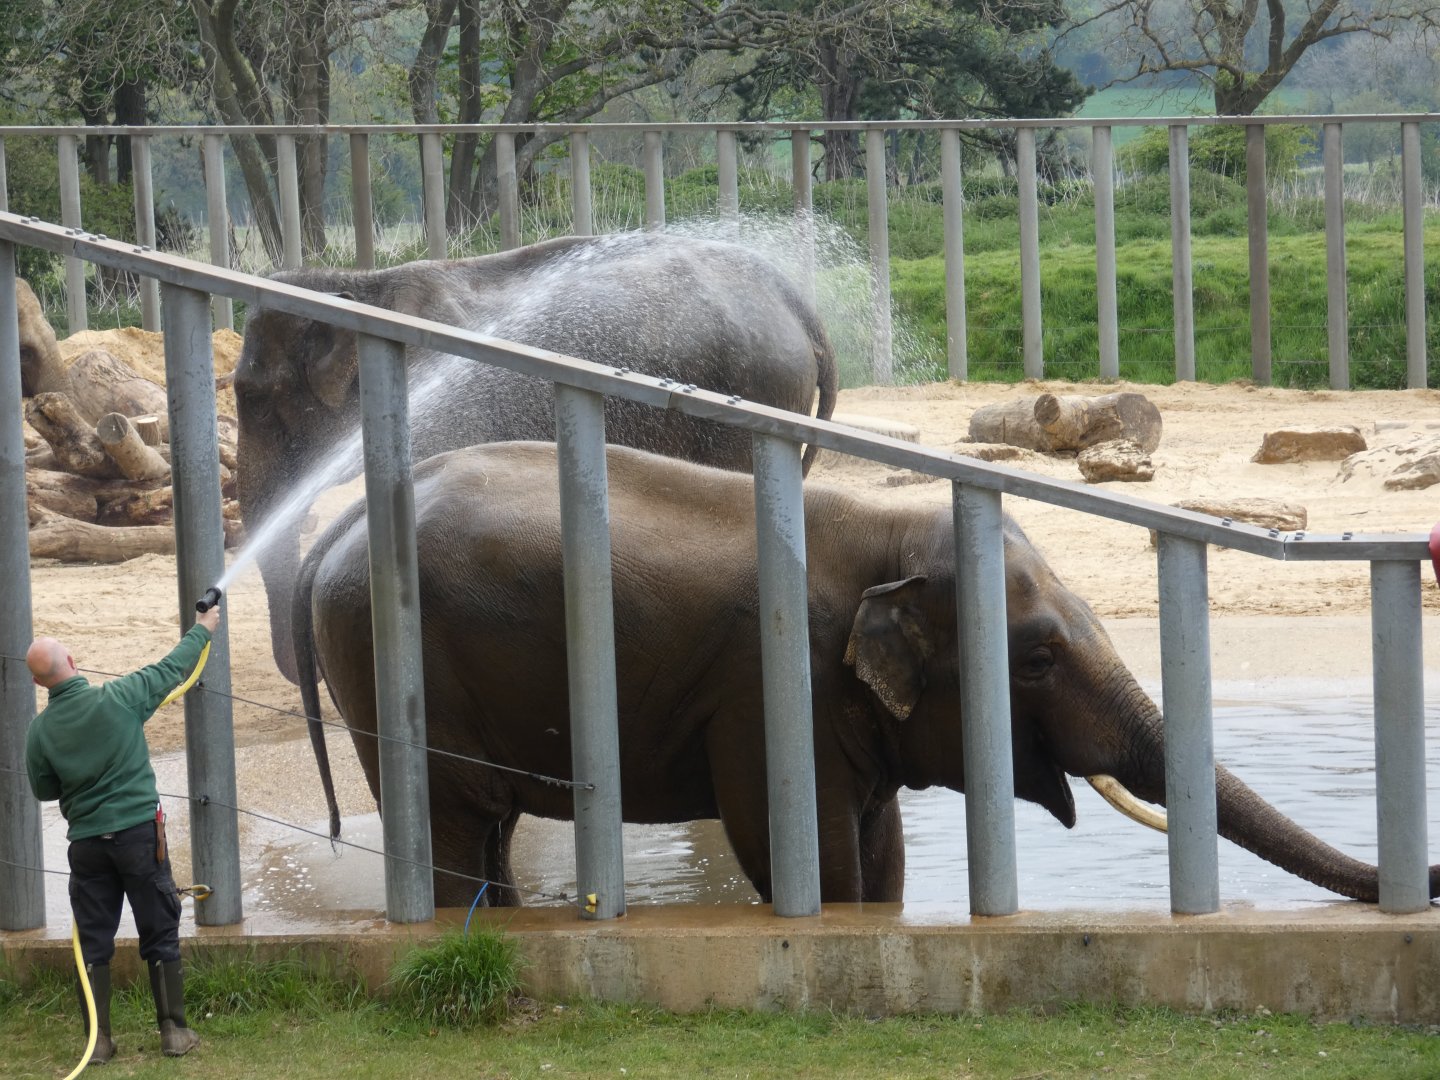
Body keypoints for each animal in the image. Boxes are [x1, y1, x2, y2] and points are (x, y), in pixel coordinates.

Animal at [293, 440, 1438, 909]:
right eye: (1035, 660)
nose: (1427, 879)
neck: (884, 534)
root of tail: (331, 534)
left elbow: (881, 858)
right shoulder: (762, 686)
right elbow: (802, 845)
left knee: (482, 832)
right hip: (388, 665)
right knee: (451, 822)